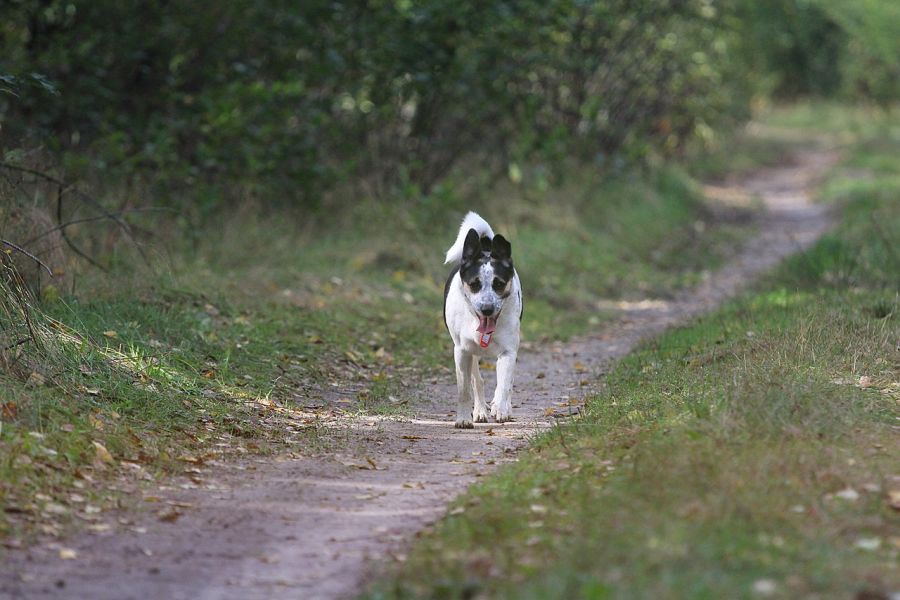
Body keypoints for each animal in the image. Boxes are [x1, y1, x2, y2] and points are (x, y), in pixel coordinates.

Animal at [442, 211, 520, 426]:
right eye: (474, 283)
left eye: (499, 284)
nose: (487, 309)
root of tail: (486, 247)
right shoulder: (462, 351)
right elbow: (464, 390)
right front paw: (463, 418)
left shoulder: (508, 351)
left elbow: (504, 384)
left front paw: (500, 409)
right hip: (472, 354)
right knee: (477, 380)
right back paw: (479, 411)